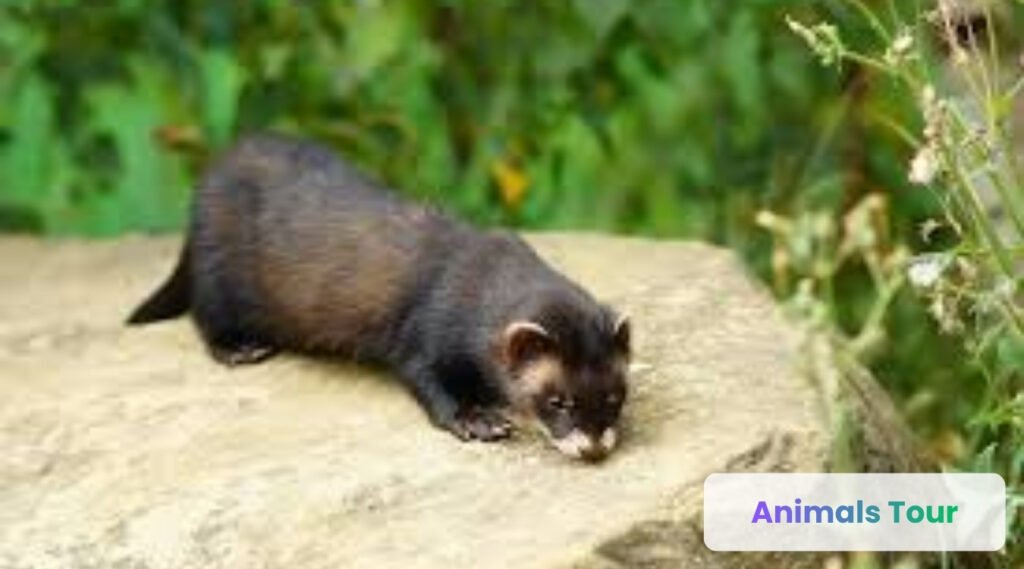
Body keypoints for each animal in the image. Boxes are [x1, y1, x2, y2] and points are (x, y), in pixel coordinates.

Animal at [128, 133, 631, 462]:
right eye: (556, 400)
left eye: (614, 395)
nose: (593, 447)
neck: (477, 273)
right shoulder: (426, 332)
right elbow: (425, 380)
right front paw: (477, 420)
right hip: (218, 273)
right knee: (205, 314)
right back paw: (238, 348)